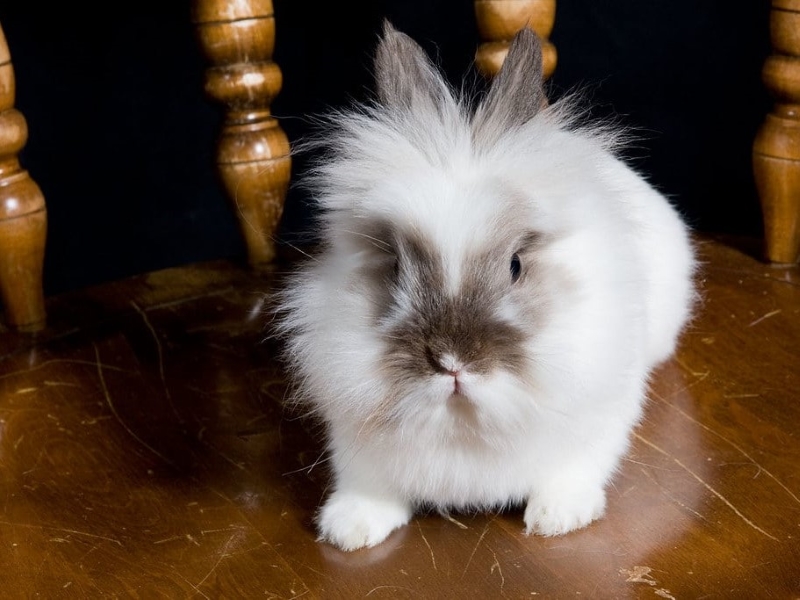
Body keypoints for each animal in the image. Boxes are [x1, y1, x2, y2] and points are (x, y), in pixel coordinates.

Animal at [273, 21, 696, 551]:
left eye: (515, 265)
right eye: (394, 267)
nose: (452, 361)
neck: (463, 427)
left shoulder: (599, 417)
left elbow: (574, 470)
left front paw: (557, 517)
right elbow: (367, 485)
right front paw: (349, 528)